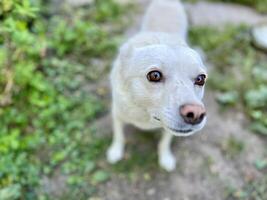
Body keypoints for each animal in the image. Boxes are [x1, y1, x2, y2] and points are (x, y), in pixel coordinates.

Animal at [108, 0, 208, 172]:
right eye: (154, 75)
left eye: (201, 79)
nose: (196, 114)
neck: (144, 114)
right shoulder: (117, 114)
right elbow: (119, 136)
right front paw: (115, 151)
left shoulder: (169, 130)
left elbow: (164, 142)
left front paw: (165, 158)